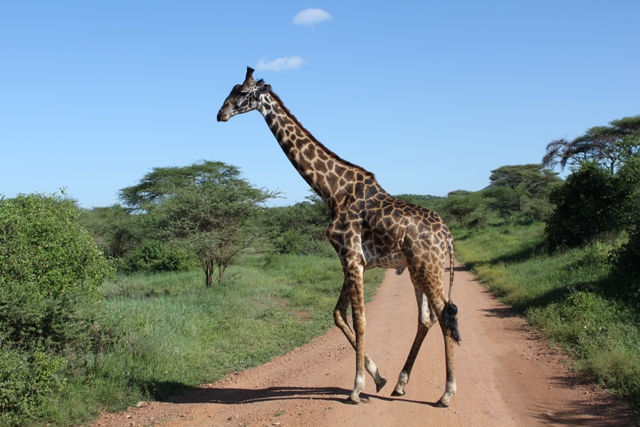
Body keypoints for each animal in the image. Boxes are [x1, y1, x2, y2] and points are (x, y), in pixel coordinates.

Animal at [217, 67, 460, 406]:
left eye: (240, 93)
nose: (220, 114)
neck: (332, 191)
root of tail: (447, 235)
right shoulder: (351, 260)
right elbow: (337, 314)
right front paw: (378, 377)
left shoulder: (351, 257)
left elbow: (359, 319)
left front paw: (357, 388)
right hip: (418, 270)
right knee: (427, 318)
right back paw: (400, 384)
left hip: (429, 267)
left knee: (445, 317)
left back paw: (447, 393)